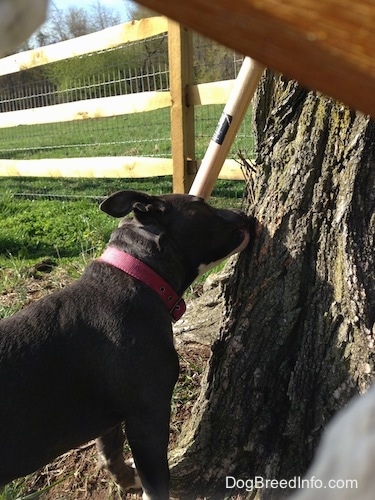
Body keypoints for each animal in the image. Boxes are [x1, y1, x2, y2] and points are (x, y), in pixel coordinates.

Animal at [0, 189, 253, 498]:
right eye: (200, 204)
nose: (244, 213)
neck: (137, 274)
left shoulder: (111, 418)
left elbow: (110, 451)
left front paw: (125, 479)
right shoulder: (148, 415)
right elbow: (156, 477)